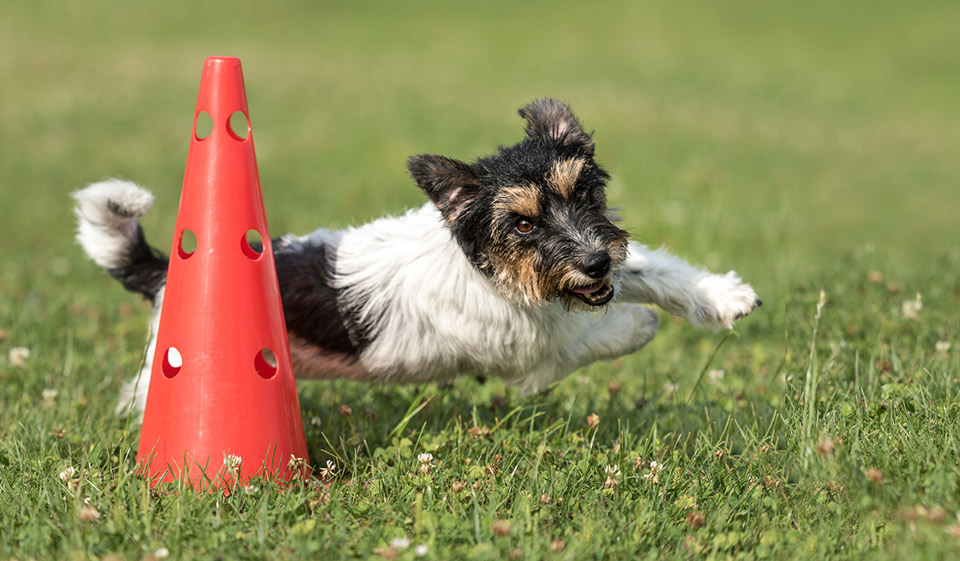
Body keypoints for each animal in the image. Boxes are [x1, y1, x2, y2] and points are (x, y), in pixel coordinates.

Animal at [75, 99, 760, 416]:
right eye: (521, 222)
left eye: (583, 193)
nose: (592, 264)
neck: (485, 266)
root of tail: (165, 273)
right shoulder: (530, 356)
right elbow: (592, 334)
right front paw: (638, 323)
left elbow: (649, 267)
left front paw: (721, 296)